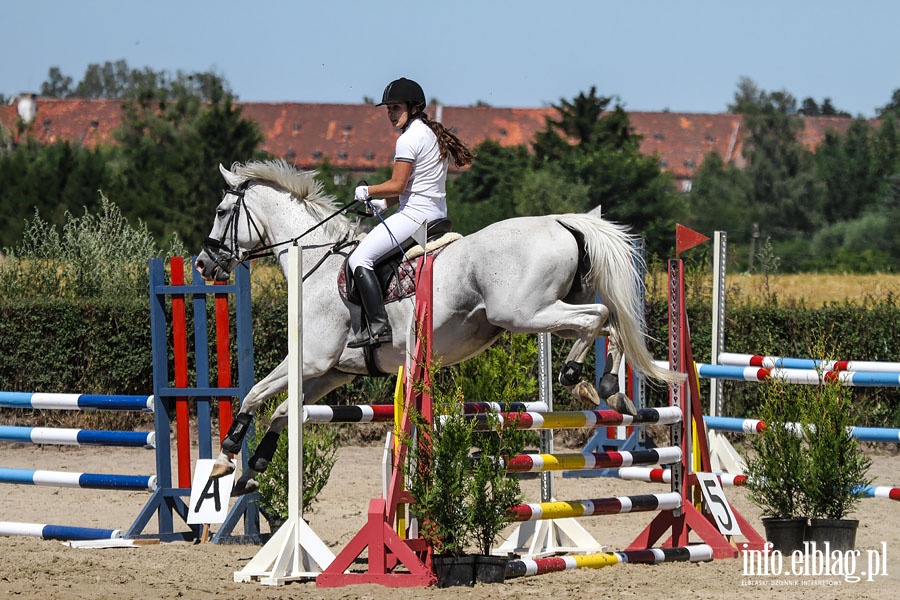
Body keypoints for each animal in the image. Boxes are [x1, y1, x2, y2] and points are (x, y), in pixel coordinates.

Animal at [195, 158, 676, 492]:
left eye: (220, 210)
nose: (202, 264)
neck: (314, 262)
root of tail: (561, 222)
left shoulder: (311, 360)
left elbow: (253, 394)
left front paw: (225, 458)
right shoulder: (332, 372)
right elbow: (282, 409)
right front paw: (251, 472)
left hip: (524, 313)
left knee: (597, 318)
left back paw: (576, 375)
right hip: (545, 312)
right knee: (609, 323)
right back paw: (608, 387)